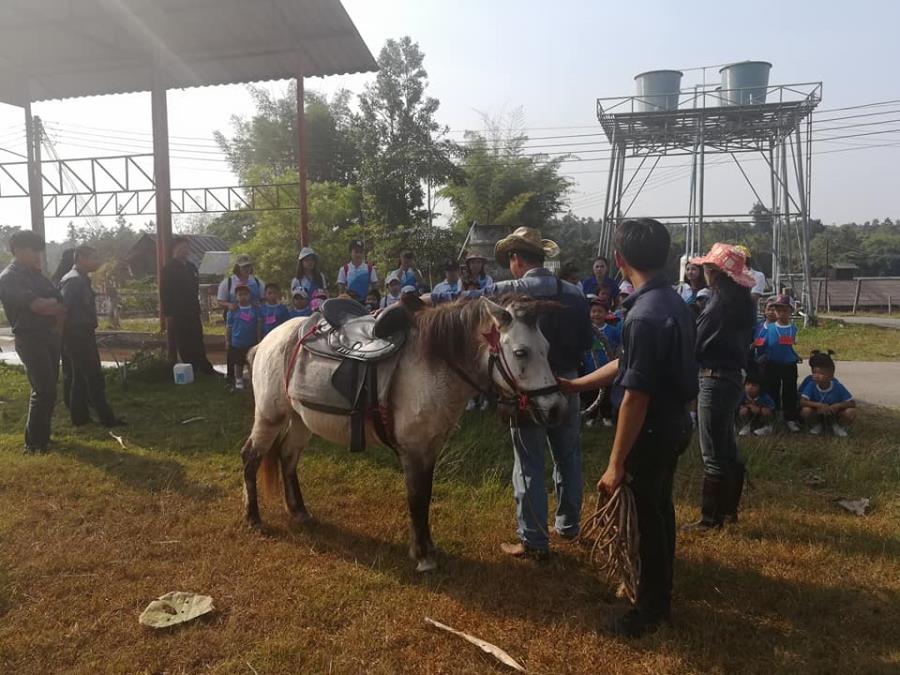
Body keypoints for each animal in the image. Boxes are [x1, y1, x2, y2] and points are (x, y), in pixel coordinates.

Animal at [240, 296, 567, 572]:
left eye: (548, 348)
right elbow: (416, 498)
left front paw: (428, 547)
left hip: (300, 420)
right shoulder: (413, 449)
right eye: (521, 352)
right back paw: (253, 517)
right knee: (250, 457)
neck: (433, 365)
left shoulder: (431, 448)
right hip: (270, 417)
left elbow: (425, 496)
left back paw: (299, 511)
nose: (556, 409)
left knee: (287, 457)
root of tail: (267, 340)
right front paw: (422, 556)